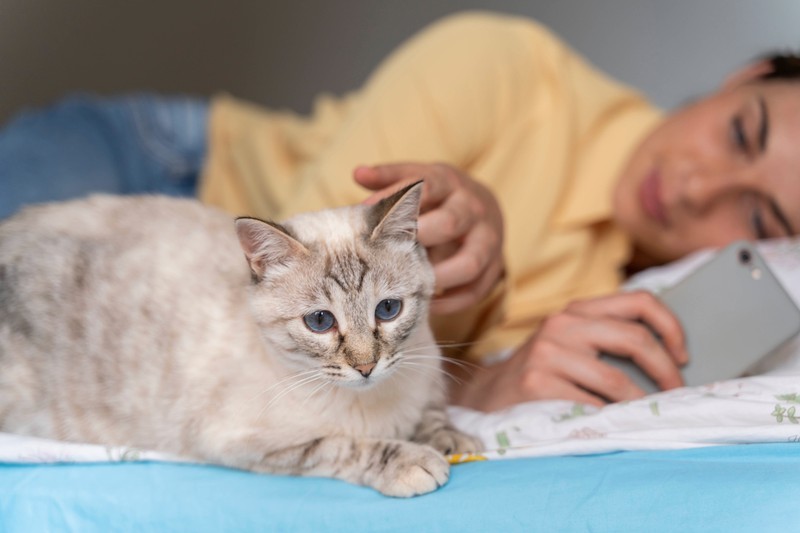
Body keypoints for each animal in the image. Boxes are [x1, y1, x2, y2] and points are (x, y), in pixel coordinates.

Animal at [0, 182, 478, 494]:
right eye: (320, 321)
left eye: (388, 310)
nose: (365, 367)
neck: (375, 402)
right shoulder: (250, 442)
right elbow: (344, 446)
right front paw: (413, 461)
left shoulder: (427, 378)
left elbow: (434, 414)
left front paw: (455, 440)